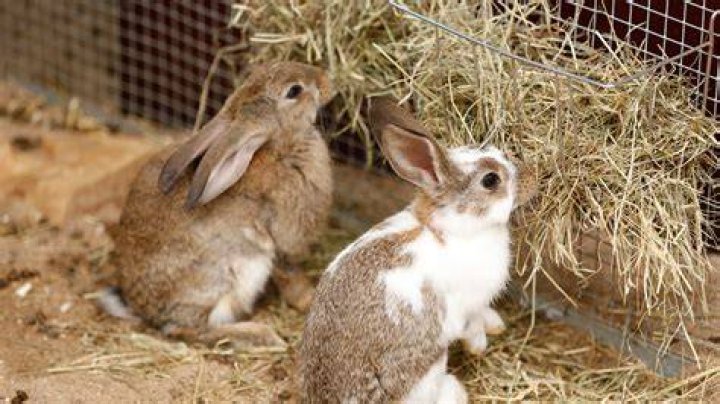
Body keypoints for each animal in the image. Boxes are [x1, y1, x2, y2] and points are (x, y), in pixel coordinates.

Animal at [98, 62, 334, 349]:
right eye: (294, 91)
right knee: (186, 330)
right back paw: (261, 335)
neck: (280, 150)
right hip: (219, 281)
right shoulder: (281, 240)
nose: (326, 80)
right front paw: (308, 300)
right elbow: (289, 274)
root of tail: (142, 309)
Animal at [298, 97, 537, 403]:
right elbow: (471, 326)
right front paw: (479, 346)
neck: (452, 229)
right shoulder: (464, 308)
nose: (534, 176)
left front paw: (496, 325)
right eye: (490, 180)